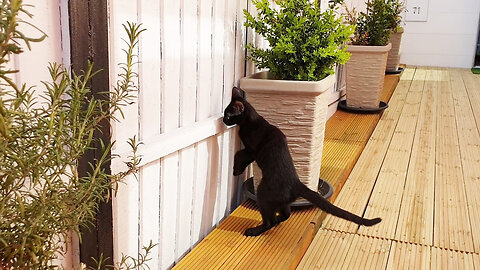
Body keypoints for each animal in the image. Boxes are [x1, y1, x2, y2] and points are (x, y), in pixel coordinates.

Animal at [223, 87, 380, 236]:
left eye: (228, 115)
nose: (223, 120)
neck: (252, 122)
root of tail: (295, 183)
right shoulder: (251, 153)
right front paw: (238, 169)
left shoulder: (252, 150)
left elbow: (238, 155)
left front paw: (235, 170)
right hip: (282, 202)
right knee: (286, 215)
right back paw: (277, 220)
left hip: (263, 194)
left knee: (270, 221)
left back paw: (253, 231)